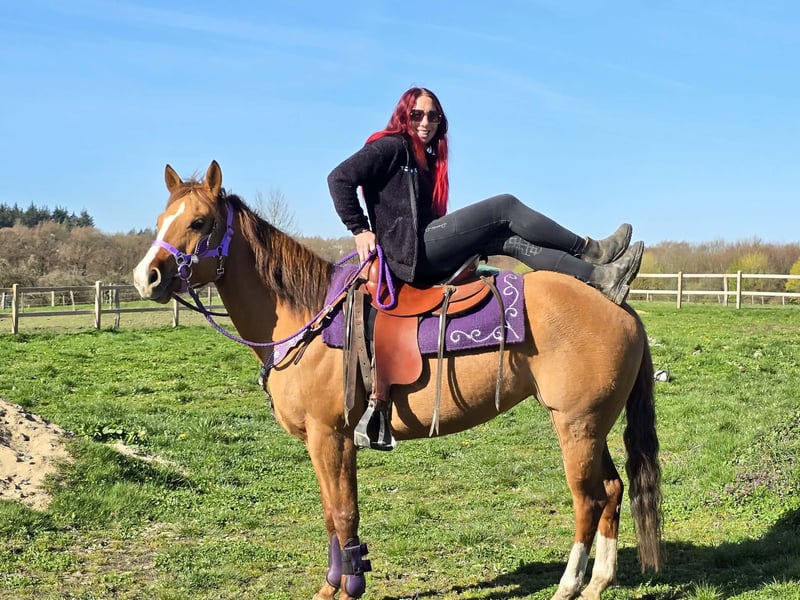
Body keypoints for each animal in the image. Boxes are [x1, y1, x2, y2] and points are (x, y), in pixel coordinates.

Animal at [133, 160, 662, 600]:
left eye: (199, 222)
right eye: (160, 220)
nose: (146, 277)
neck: (308, 315)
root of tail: (618, 305)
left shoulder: (331, 435)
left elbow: (343, 513)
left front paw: (347, 588)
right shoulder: (330, 439)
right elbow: (332, 514)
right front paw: (334, 586)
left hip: (576, 426)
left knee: (588, 500)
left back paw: (569, 586)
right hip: (590, 426)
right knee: (613, 491)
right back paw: (597, 584)